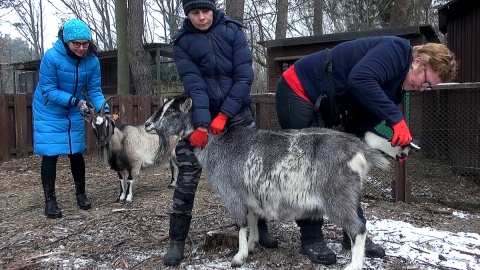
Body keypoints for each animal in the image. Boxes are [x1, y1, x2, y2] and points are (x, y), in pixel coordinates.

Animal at [143, 94, 404, 268]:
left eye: (172, 111)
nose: (147, 124)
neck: (219, 142)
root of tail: (357, 148)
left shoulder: (233, 195)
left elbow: (241, 224)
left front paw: (239, 257)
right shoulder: (248, 194)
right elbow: (252, 219)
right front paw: (252, 245)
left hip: (338, 197)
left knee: (358, 228)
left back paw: (353, 265)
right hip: (348, 196)